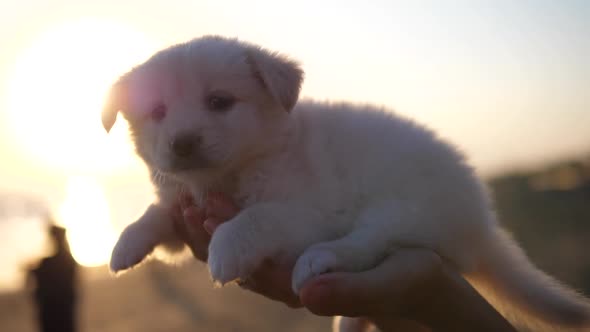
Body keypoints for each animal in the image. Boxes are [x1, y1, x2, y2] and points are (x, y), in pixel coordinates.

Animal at [103, 36, 590, 332]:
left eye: (219, 101)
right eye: (157, 112)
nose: (182, 143)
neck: (234, 172)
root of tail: (482, 224)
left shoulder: (305, 213)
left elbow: (252, 218)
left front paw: (225, 251)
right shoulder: (183, 207)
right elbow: (158, 212)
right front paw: (126, 243)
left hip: (402, 210)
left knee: (367, 243)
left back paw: (320, 261)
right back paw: (349, 320)